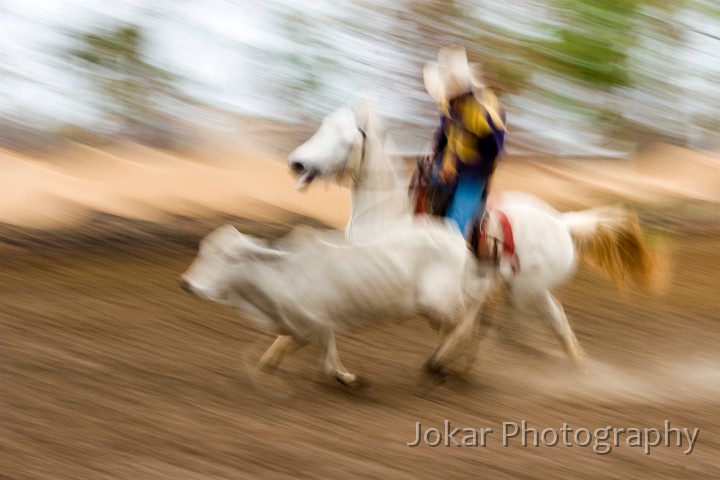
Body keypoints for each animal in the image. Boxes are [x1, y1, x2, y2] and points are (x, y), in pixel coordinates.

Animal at [180, 225, 490, 386]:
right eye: (203, 250)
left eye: (230, 257)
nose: (187, 284)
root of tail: (453, 236)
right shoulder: (302, 324)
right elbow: (280, 349)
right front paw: (264, 368)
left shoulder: (318, 319)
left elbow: (328, 356)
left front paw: (348, 378)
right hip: (440, 305)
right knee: (459, 324)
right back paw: (452, 363)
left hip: (440, 301)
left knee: (467, 319)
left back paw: (440, 363)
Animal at [286, 104, 660, 368]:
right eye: (321, 126)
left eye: (345, 138)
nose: (297, 163)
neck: (387, 212)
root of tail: (562, 223)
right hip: (530, 289)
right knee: (555, 321)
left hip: (523, 291)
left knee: (508, 325)